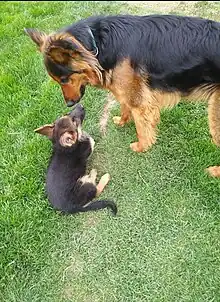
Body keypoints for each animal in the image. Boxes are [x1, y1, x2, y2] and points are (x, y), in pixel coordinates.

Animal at [24, 13, 220, 158]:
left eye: (64, 79)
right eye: (57, 80)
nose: (69, 104)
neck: (95, 44)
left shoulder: (139, 102)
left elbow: (141, 127)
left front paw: (141, 147)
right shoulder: (126, 90)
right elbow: (125, 107)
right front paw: (122, 121)